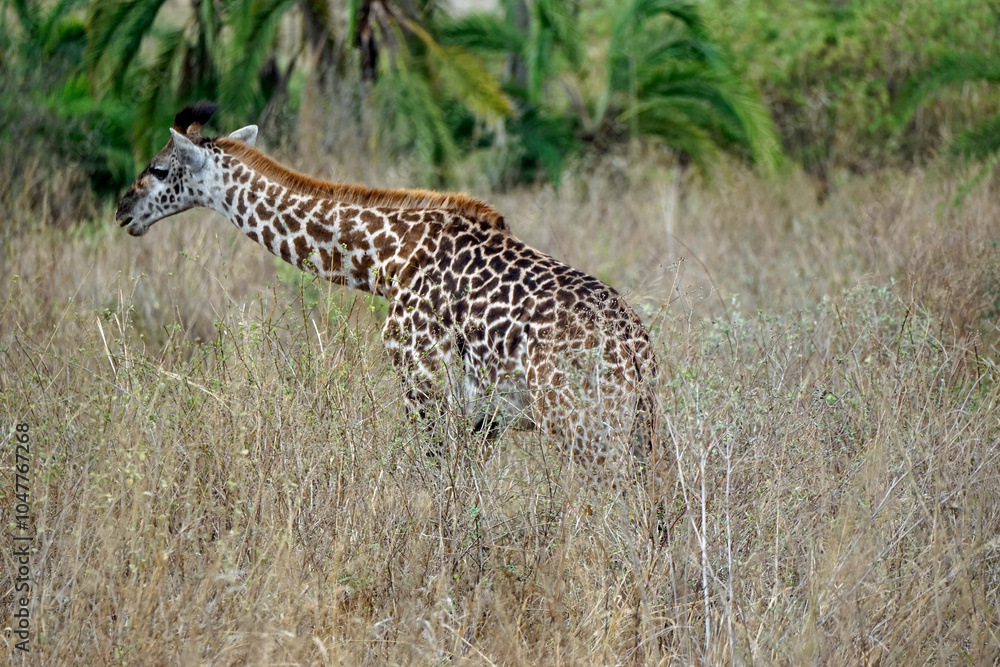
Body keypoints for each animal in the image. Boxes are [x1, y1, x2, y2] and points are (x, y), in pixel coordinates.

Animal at [115, 102, 661, 487]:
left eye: (159, 169)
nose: (123, 209)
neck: (388, 257)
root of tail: (635, 348)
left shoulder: (424, 385)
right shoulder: (483, 417)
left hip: (581, 423)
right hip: (640, 426)